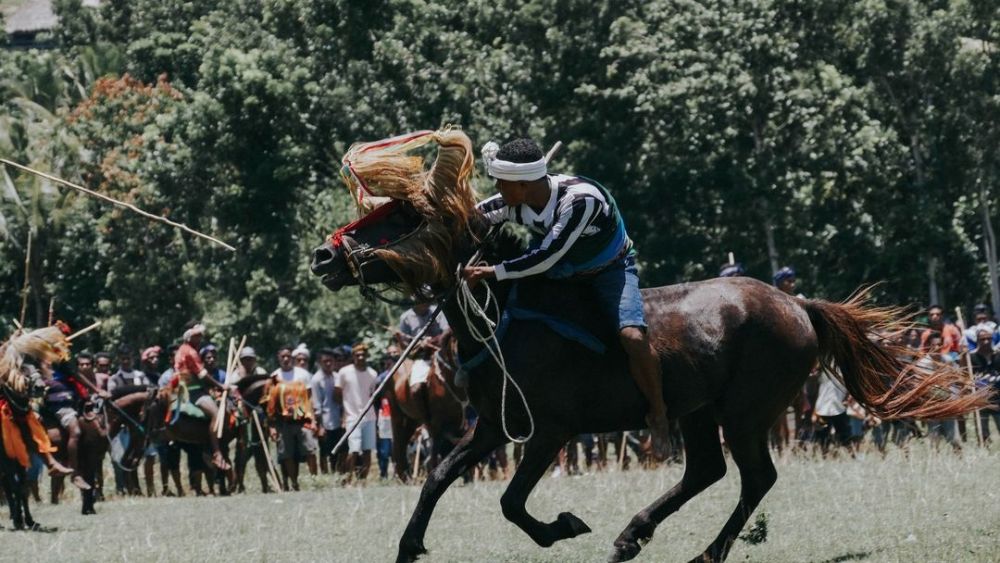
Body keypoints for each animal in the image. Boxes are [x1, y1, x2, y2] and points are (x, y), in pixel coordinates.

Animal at [306, 129, 992, 563]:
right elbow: (438, 476)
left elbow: (509, 501)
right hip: (701, 412)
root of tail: (798, 306)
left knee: (754, 477)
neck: (505, 317)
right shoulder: (494, 425)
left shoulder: (549, 431)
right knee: (709, 470)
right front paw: (408, 546)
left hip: (747, 411)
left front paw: (562, 526)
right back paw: (632, 537)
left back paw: (698, 552)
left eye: (400, 217)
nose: (323, 258)